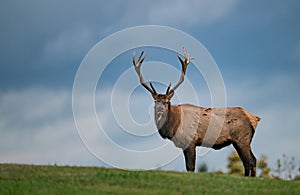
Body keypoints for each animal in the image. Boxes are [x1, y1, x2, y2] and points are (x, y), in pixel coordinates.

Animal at [132, 47, 262, 177]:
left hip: (242, 138)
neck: (174, 125)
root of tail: (254, 118)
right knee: (248, 162)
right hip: (238, 141)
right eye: (155, 101)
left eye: (167, 101)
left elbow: (190, 167)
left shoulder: (190, 140)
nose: (159, 108)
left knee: (251, 160)